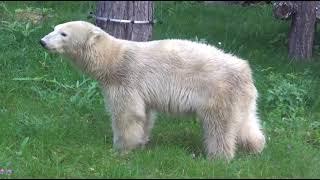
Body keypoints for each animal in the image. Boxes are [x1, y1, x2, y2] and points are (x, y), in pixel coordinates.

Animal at [39, 20, 264, 160]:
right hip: (242, 98)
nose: (42, 41)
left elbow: (127, 114)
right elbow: (145, 114)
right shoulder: (139, 88)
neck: (113, 60)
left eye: (63, 33)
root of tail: (245, 71)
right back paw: (256, 147)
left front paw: (121, 148)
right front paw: (140, 143)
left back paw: (218, 157)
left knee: (219, 126)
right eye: (54, 28)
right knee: (246, 123)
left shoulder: (126, 80)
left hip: (217, 91)